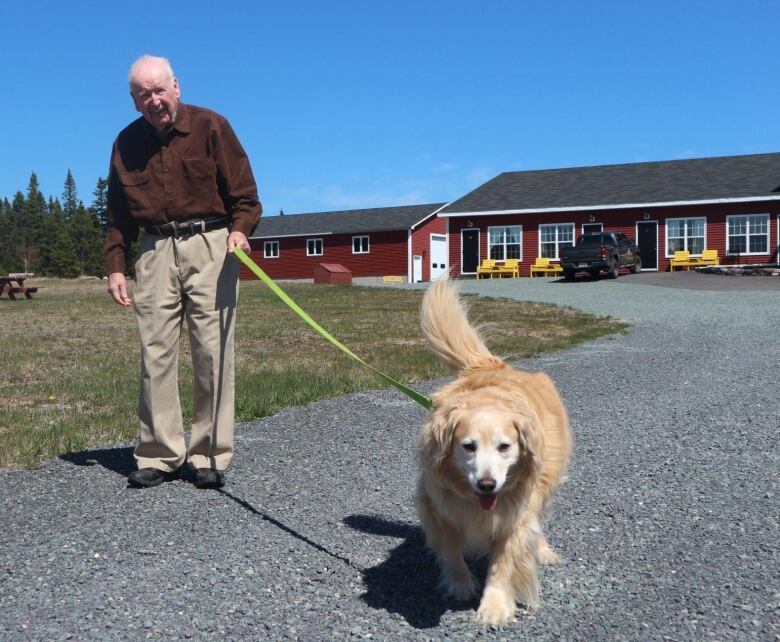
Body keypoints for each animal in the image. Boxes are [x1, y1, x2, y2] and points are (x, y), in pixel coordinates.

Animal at [414, 278, 572, 624]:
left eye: (505, 447)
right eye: (468, 446)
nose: (487, 485)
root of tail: (492, 365)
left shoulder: (515, 515)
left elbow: (503, 563)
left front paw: (494, 605)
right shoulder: (439, 506)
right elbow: (451, 551)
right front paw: (460, 584)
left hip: (545, 485)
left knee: (539, 521)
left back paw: (543, 550)